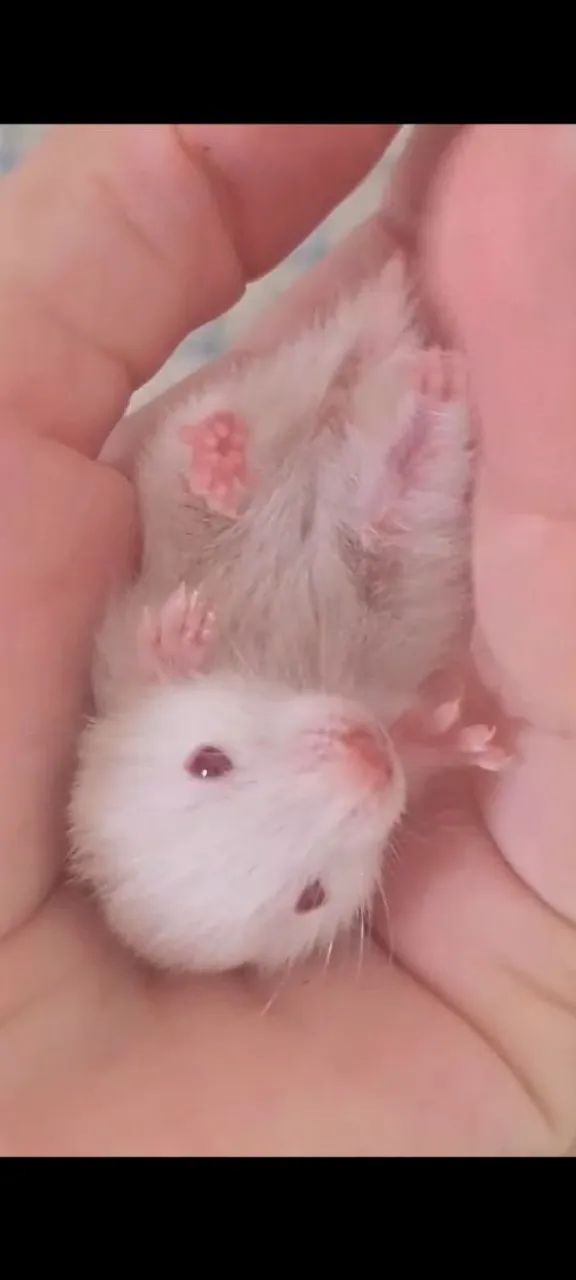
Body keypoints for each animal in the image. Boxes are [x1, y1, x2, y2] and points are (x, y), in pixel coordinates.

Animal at [69, 256, 475, 974]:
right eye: (311, 896)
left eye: (208, 761)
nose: (370, 752)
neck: (284, 676)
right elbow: (418, 741)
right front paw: (464, 735)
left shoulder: (117, 666)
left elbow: (149, 654)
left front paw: (179, 636)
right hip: (409, 506)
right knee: (389, 479)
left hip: (208, 436)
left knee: (211, 458)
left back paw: (229, 462)